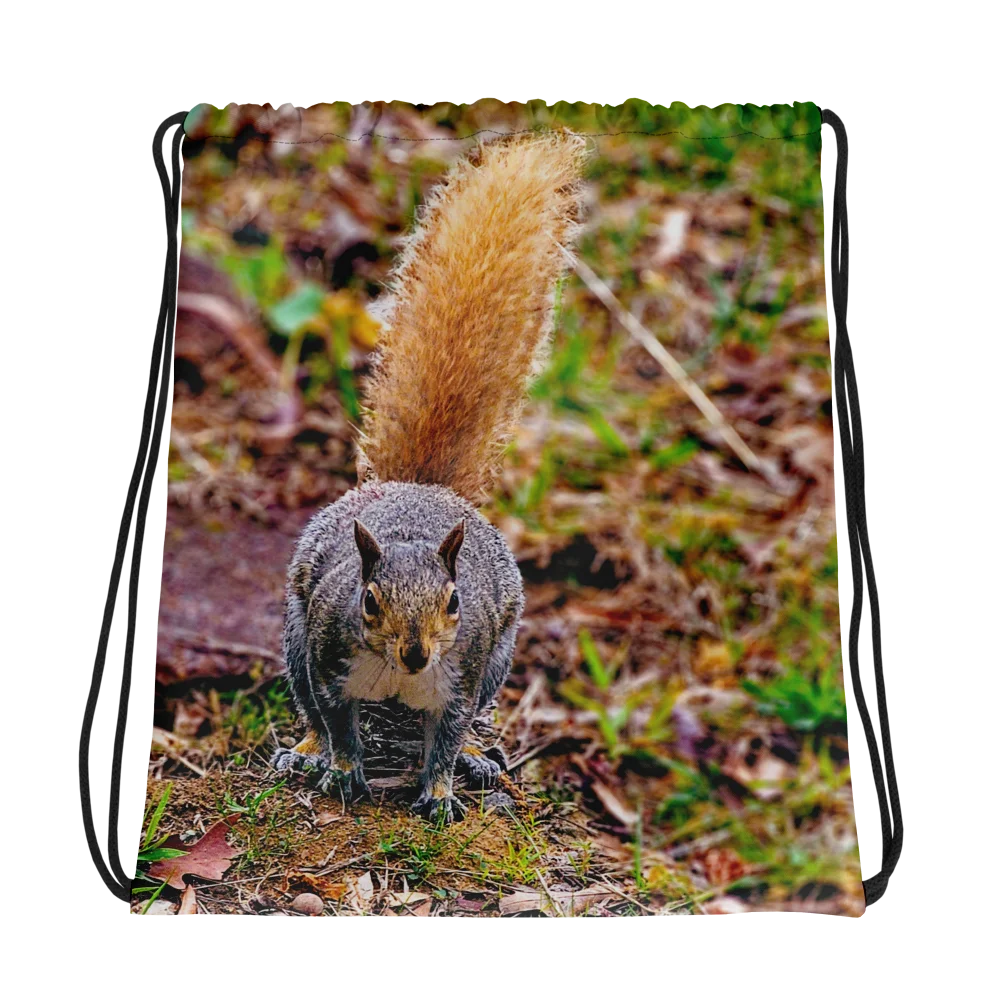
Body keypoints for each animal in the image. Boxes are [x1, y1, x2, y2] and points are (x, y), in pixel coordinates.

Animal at [271, 132, 585, 823]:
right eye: (368, 600)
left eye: (454, 601)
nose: (415, 653)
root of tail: (421, 488)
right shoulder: (328, 659)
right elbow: (337, 723)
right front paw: (342, 769)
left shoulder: (463, 676)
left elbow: (444, 738)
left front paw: (440, 791)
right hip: (296, 637)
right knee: (308, 709)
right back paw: (303, 752)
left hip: (497, 659)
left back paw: (475, 759)